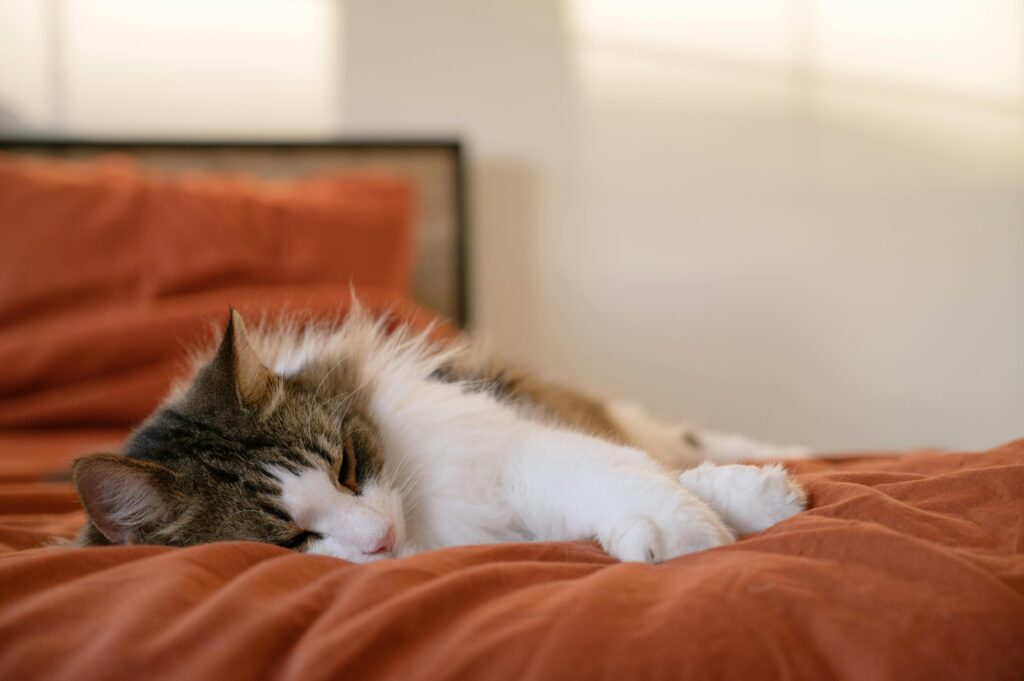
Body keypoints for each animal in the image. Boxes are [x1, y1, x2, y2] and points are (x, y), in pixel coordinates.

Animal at [70, 307, 806, 561]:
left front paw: (738, 510)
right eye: (292, 538)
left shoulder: (512, 447)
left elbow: (632, 474)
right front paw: (664, 536)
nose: (381, 537)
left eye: (346, 467)